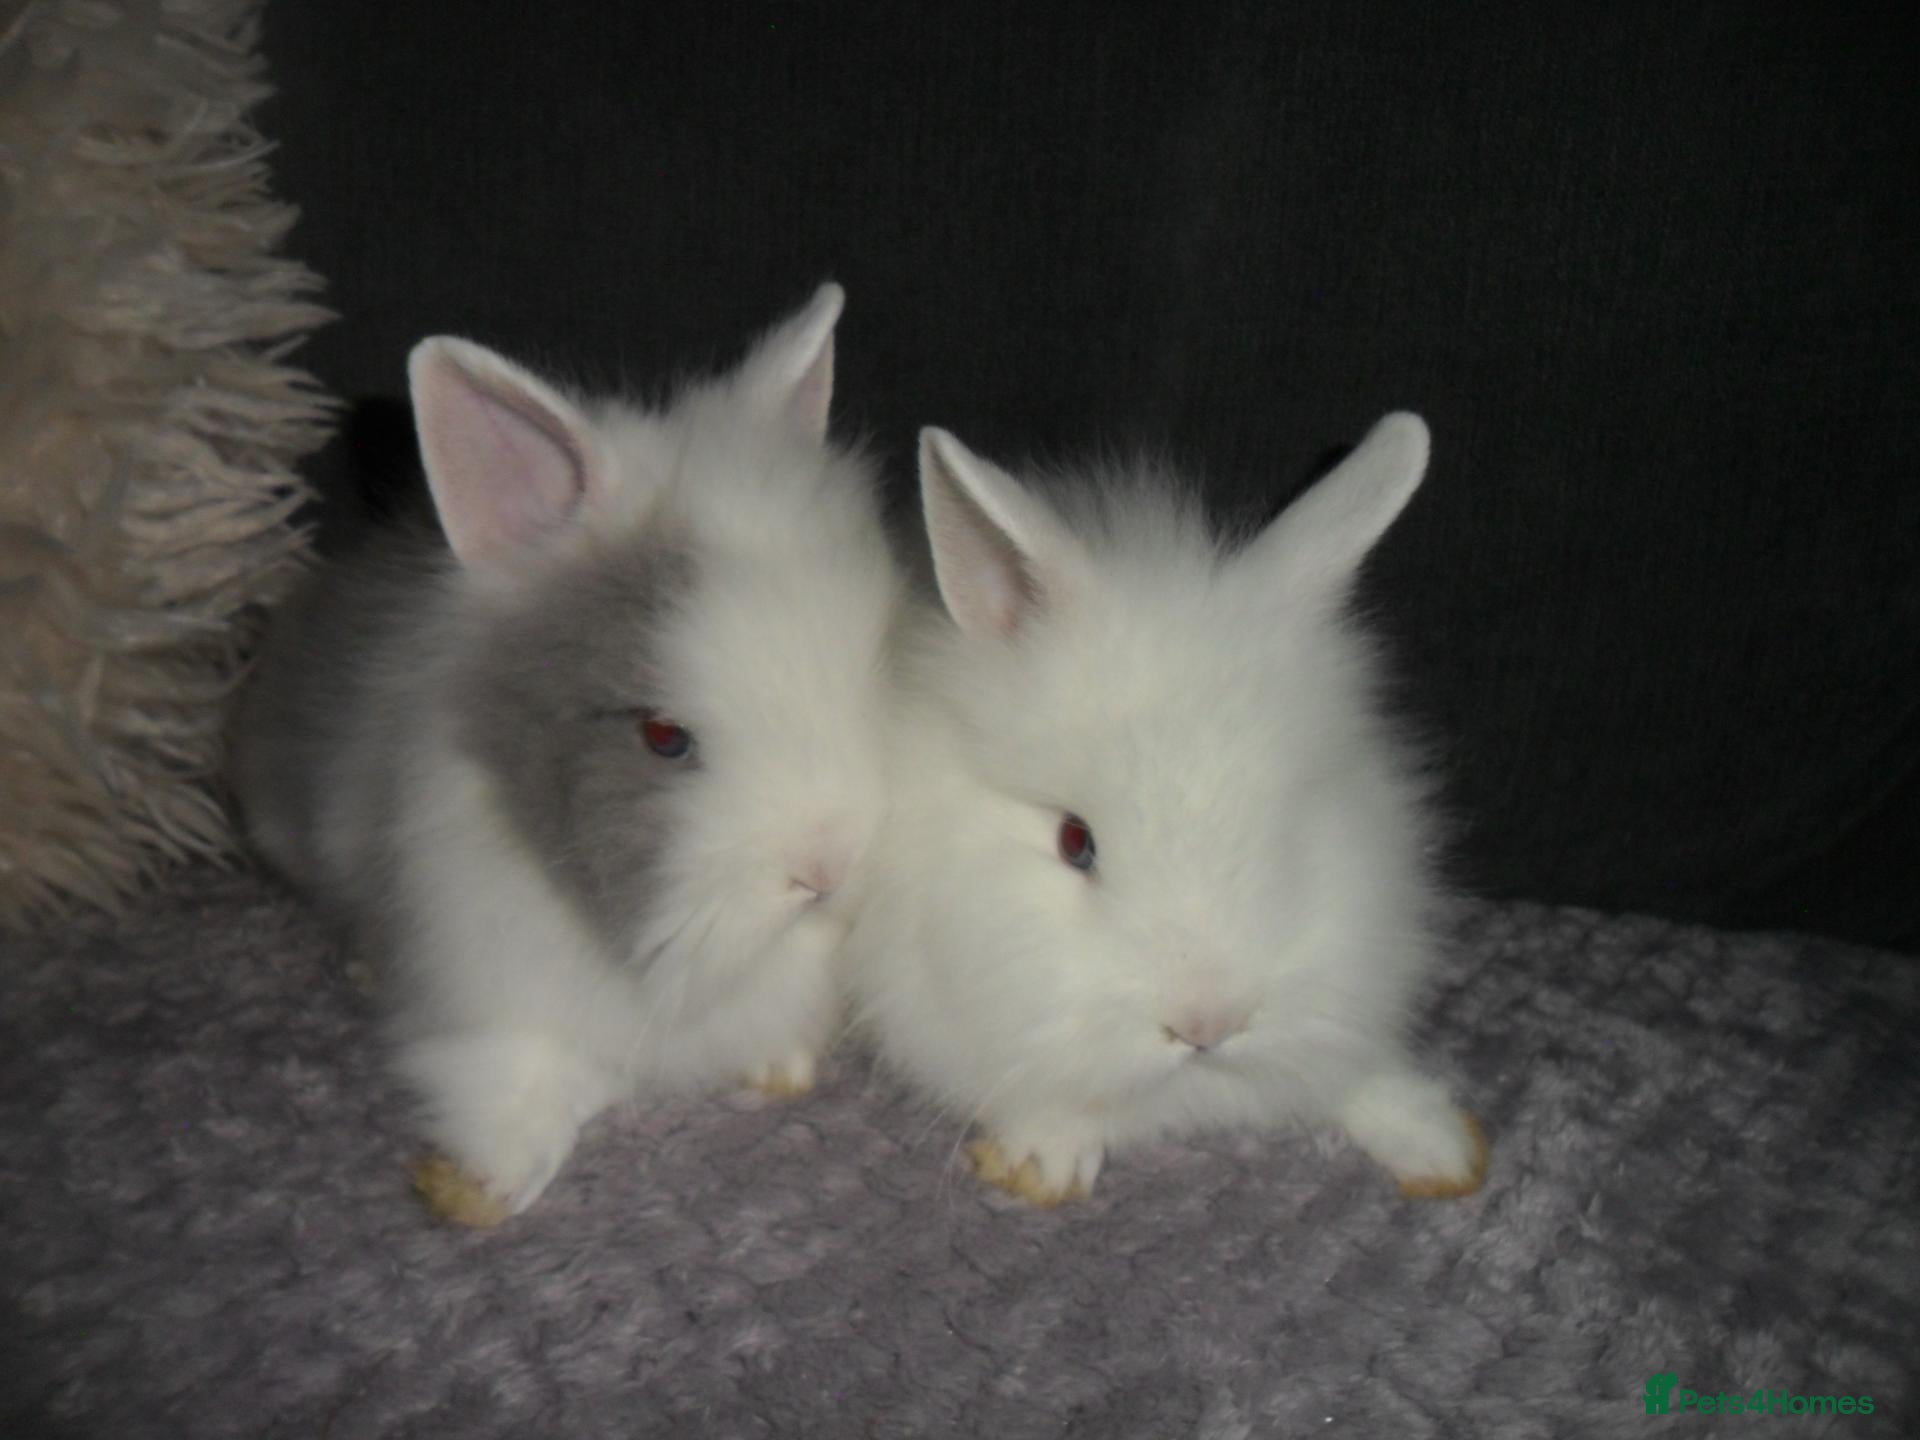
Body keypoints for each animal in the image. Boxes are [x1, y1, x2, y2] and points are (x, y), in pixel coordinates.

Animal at [230, 283, 903, 1223]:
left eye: (875, 666)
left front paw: (781, 1065)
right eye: (663, 737)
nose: (827, 870)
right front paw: (490, 1179)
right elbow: (526, 1071)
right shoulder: (486, 982)